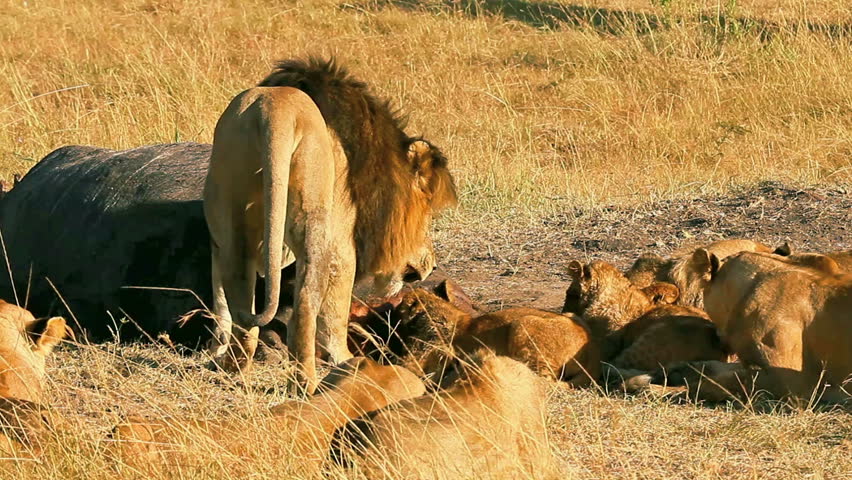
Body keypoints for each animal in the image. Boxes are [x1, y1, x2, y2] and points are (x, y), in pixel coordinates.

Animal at [203, 58, 456, 392]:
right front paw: (342, 356)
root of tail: (272, 111)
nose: (432, 263)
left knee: (237, 291)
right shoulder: (343, 235)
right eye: (429, 215)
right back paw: (307, 380)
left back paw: (235, 364)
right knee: (307, 301)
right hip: (316, 217)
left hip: (229, 209)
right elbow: (336, 305)